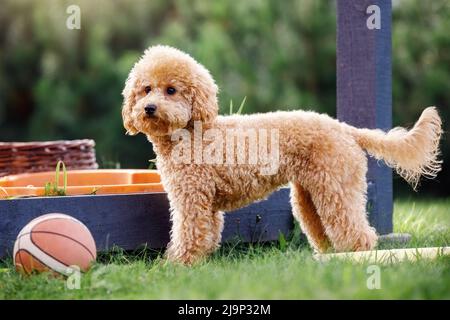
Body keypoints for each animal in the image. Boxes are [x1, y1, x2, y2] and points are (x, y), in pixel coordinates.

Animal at [122, 45, 442, 264]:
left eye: (171, 90)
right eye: (146, 89)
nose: (148, 108)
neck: (192, 132)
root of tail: (345, 129)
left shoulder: (191, 197)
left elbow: (188, 232)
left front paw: (177, 264)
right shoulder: (207, 203)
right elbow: (207, 233)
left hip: (337, 188)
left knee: (357, 232)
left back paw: (355, 258)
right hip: (309, 196)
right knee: (326, 230)